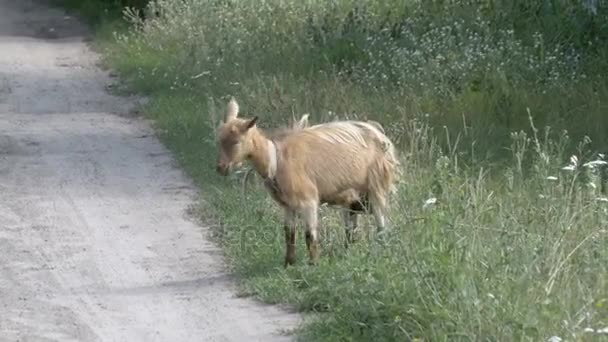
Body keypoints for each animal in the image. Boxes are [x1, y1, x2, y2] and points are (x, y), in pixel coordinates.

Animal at [215, 97, 400, 266]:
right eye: (219, 140)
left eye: (236, 141)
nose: (221, 168)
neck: (276, 159)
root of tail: (382, 136)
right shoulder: (287, 205)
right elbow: (289, 233)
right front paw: (289, 263)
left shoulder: (308, 200)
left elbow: (310, 235)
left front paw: (313, 264)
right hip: (352, 197)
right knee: (351, 229)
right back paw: (347, 254)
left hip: (376, 187)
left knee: (381, 225)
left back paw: (381, 252)